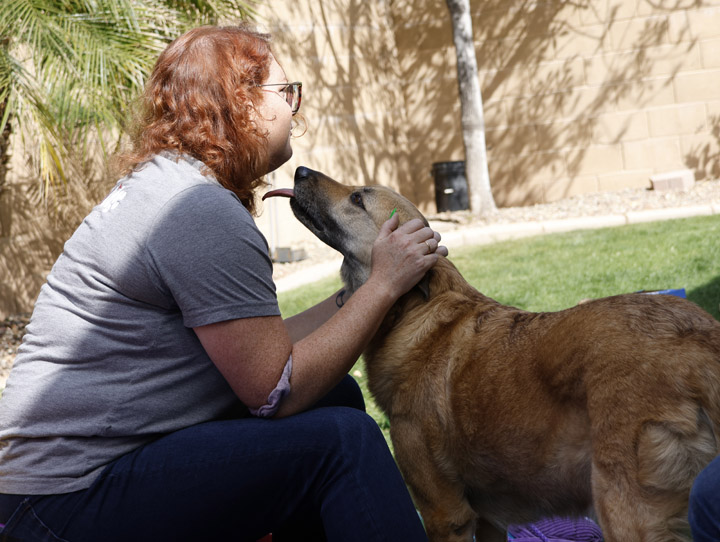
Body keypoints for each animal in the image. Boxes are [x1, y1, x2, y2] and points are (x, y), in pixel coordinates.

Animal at [262, 168, 720, 542]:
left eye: (358, 198)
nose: (299, 170)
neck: (414, 311)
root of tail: (696, 339)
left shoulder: (445, 514)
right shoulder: (486, 521)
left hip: (625, 511)